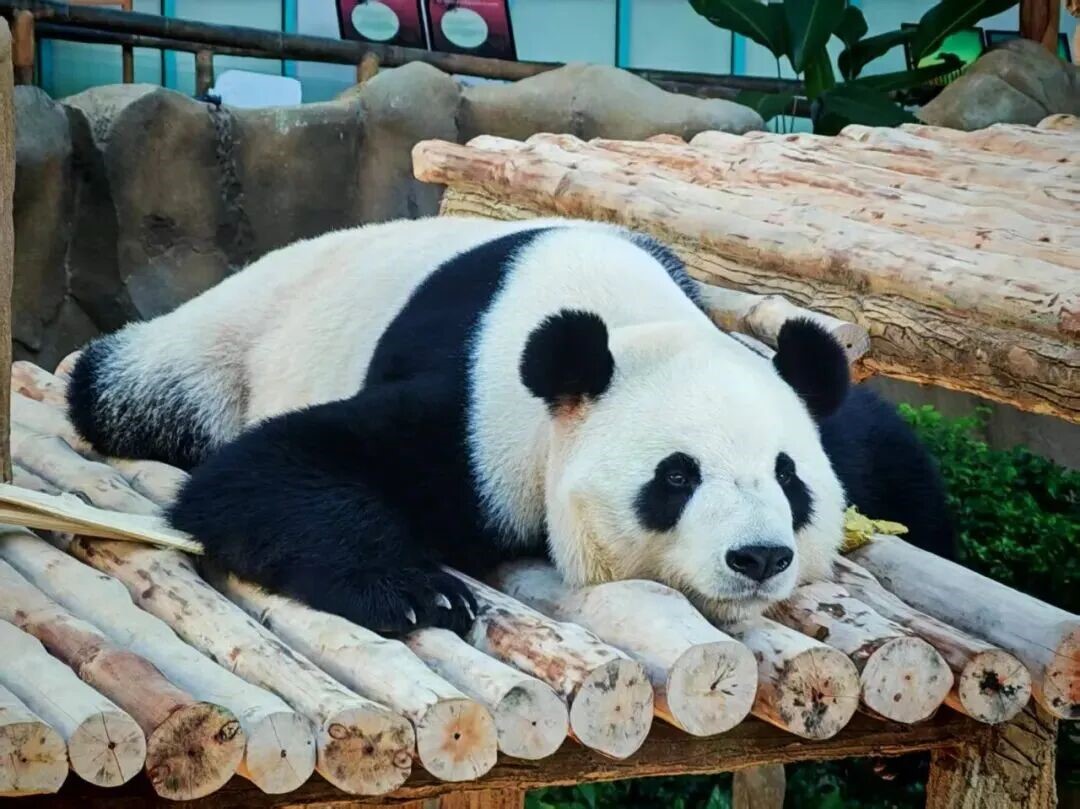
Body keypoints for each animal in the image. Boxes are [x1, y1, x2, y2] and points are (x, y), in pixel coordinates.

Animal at [66, 215, 953, 635]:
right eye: (676, 476)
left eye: (788, 478)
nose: (759, 556)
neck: (622, 316)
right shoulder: (475, 414)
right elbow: (269, 470)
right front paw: (419, 593)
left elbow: (883, 449)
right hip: (220, 351)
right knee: (126, 386)